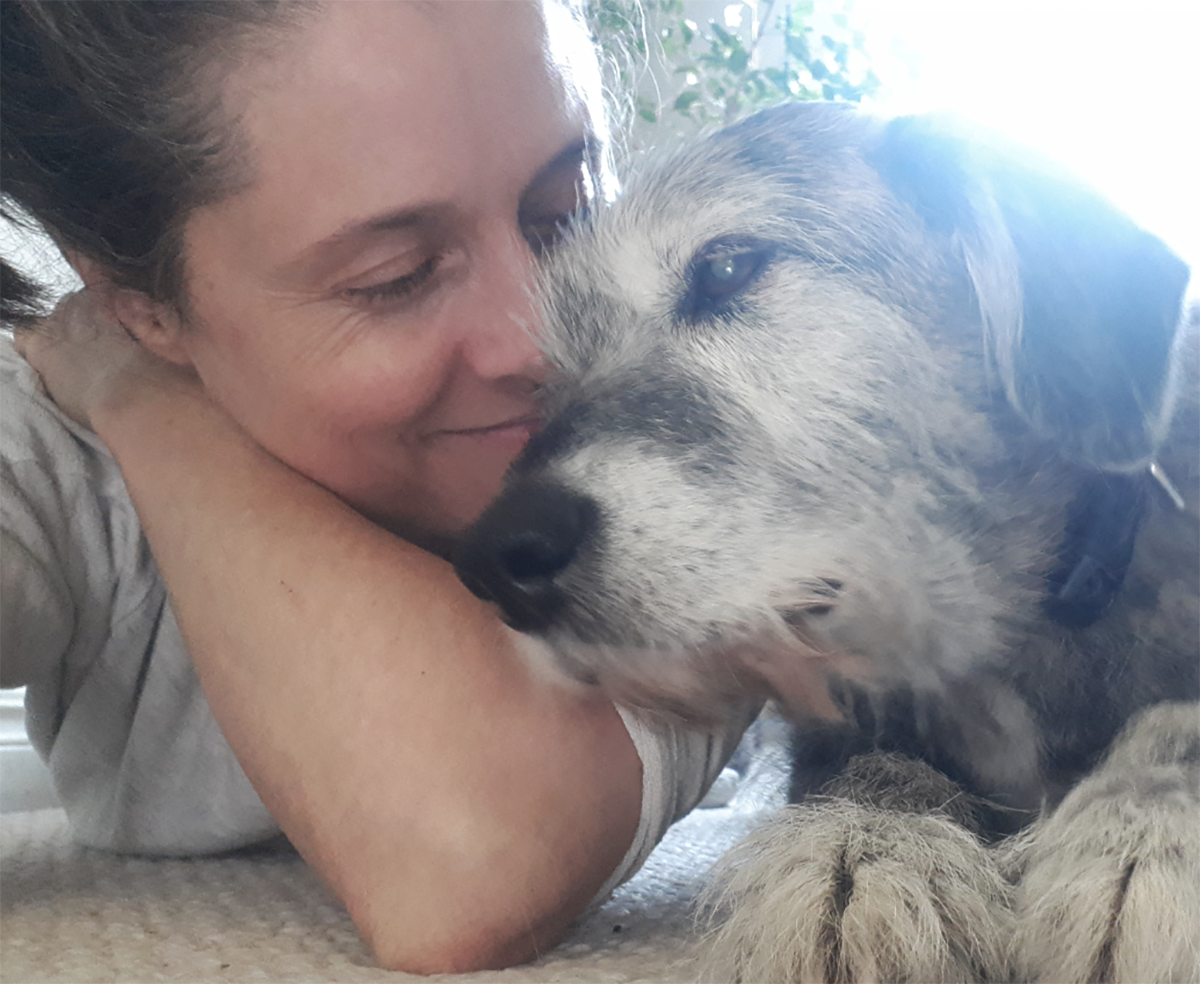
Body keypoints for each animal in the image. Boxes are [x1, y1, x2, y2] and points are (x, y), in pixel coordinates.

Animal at [453, 102, 1195, 984]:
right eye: (553, 375)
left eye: (727, 269)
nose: (493, 557)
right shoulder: (833, 721)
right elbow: (870, 769)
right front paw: (862, 856)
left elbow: (1177, 729)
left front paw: (1143, 842)